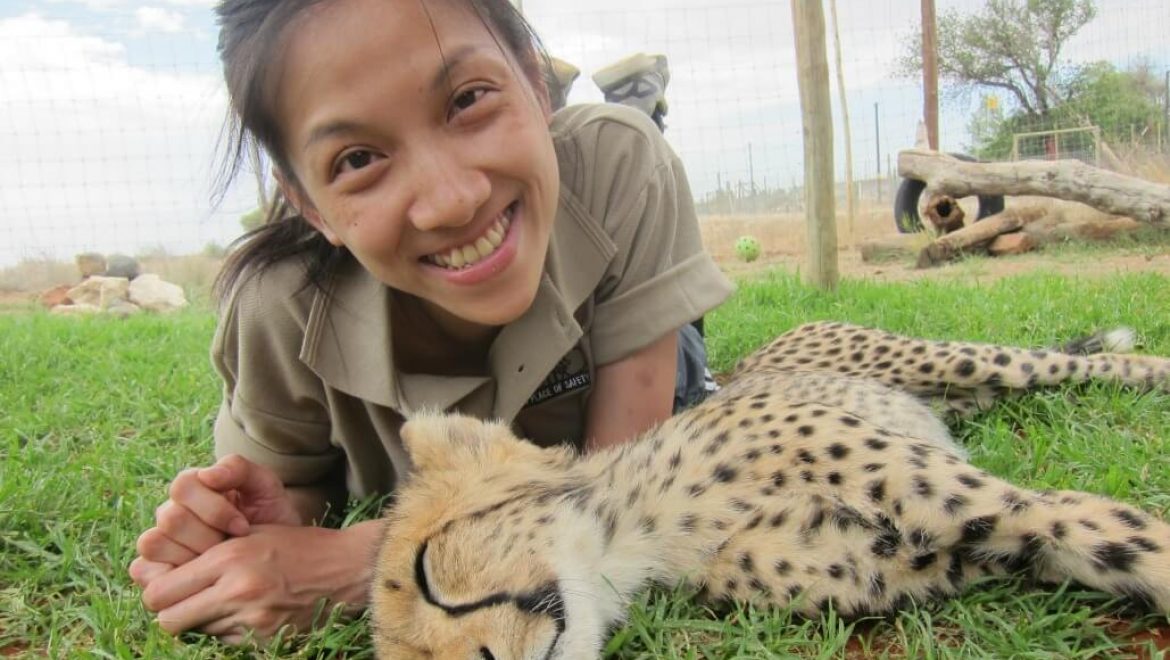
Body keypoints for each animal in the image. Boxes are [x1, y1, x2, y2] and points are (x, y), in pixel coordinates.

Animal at [367, 320, 1170, 660]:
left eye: (428, 571)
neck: (652, 528)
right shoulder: (930, 562)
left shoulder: (1013, 508)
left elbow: (1123, 534)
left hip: (957, 361)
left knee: (1060, 363)